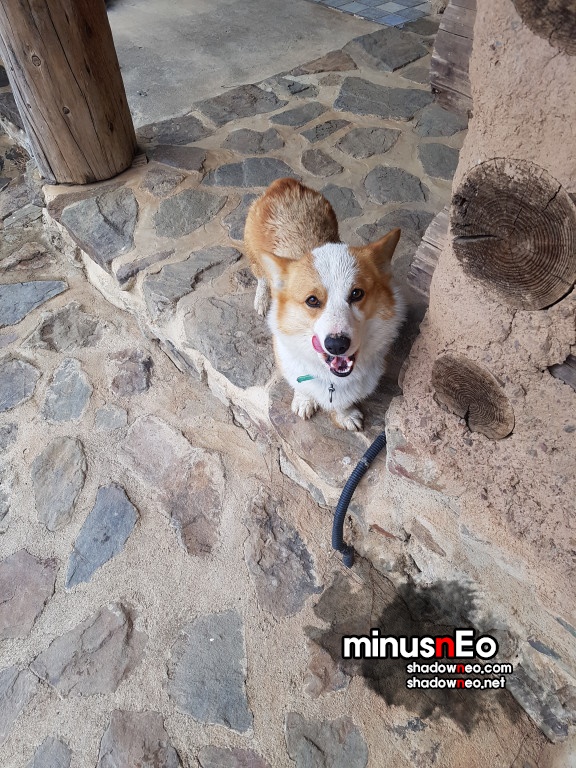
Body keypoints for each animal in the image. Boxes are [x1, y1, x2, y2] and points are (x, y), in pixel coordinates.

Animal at [243, 178, 404, 431]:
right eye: (312, 300)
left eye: (357, 293)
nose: (337, 345)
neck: (330, 378)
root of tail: (284, 183)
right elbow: (300, 386)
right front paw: (304, 401)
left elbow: (343, 403)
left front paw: (346, 415)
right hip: (255, 255)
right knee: (261, 276)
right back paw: (261, 299)